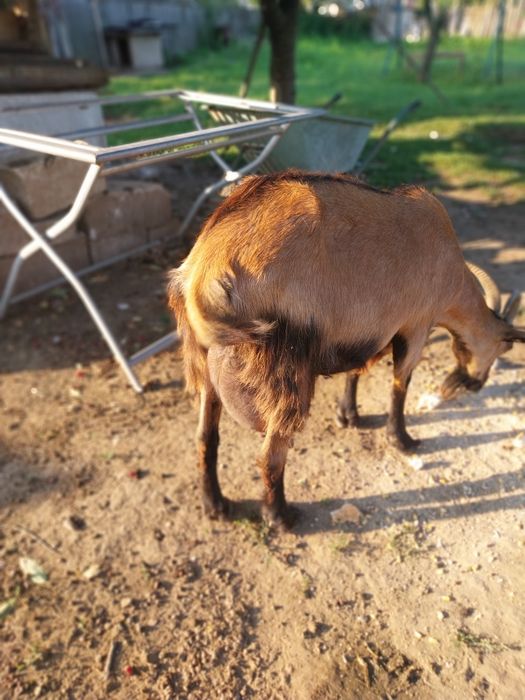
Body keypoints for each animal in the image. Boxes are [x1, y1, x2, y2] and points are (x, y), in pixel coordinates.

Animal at [169, 171, 524, 530]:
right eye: (503, 347)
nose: (475, 385)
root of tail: (205, 269)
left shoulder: (370, 331)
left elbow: (356, 371)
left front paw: (349, 416)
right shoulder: (416, 325)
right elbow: (400, 385)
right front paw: (403, 440)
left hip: (205, 368)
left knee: (205, 437)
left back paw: (216, 505)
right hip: (288, 371)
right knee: (270, 455)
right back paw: (281, 516)